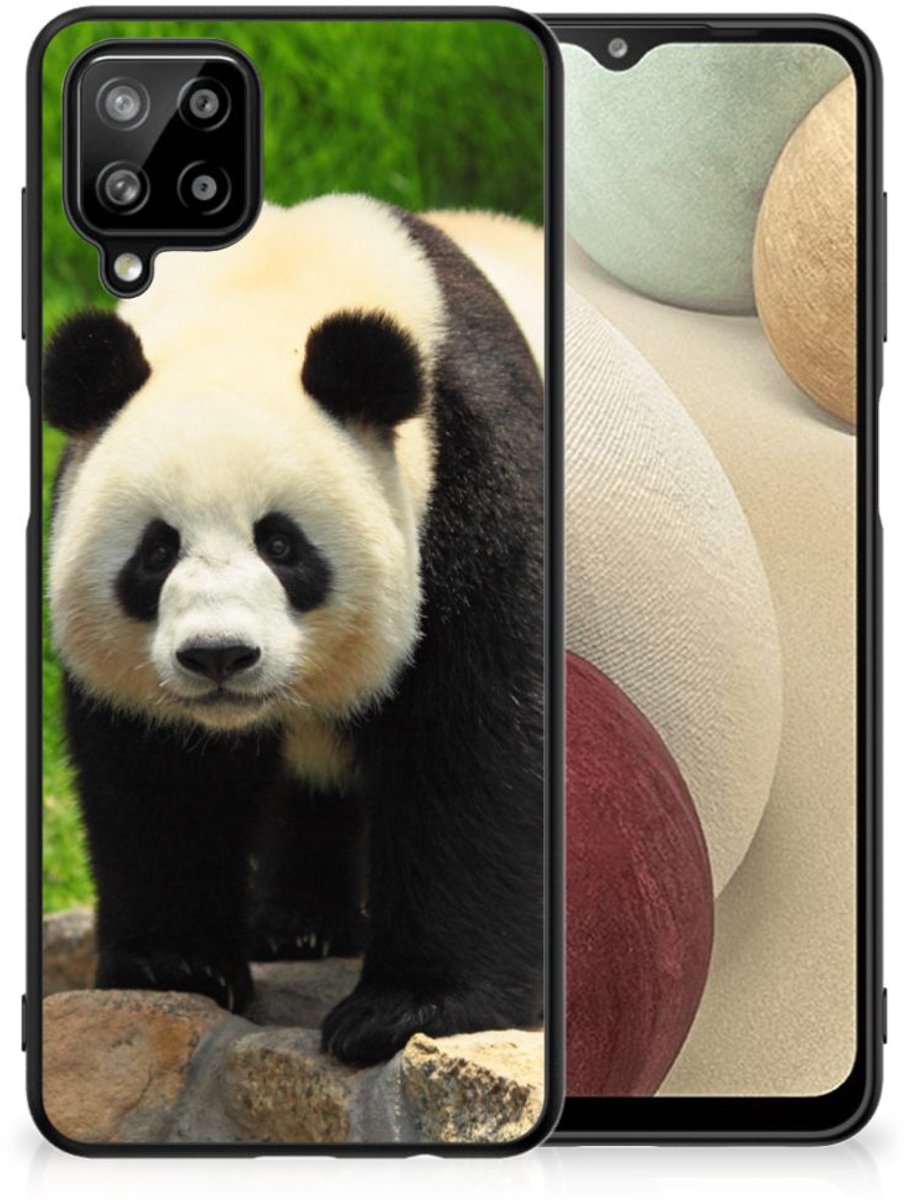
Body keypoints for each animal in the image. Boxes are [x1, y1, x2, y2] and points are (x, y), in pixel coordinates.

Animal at [44, 195, 545, 1066]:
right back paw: (299, 927)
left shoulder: (475, 480)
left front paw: (409, 1008)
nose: (218, 656)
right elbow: (157, 773)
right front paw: (176, 966)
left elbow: (473, 742)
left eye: (281, 545)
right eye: (156, 551)